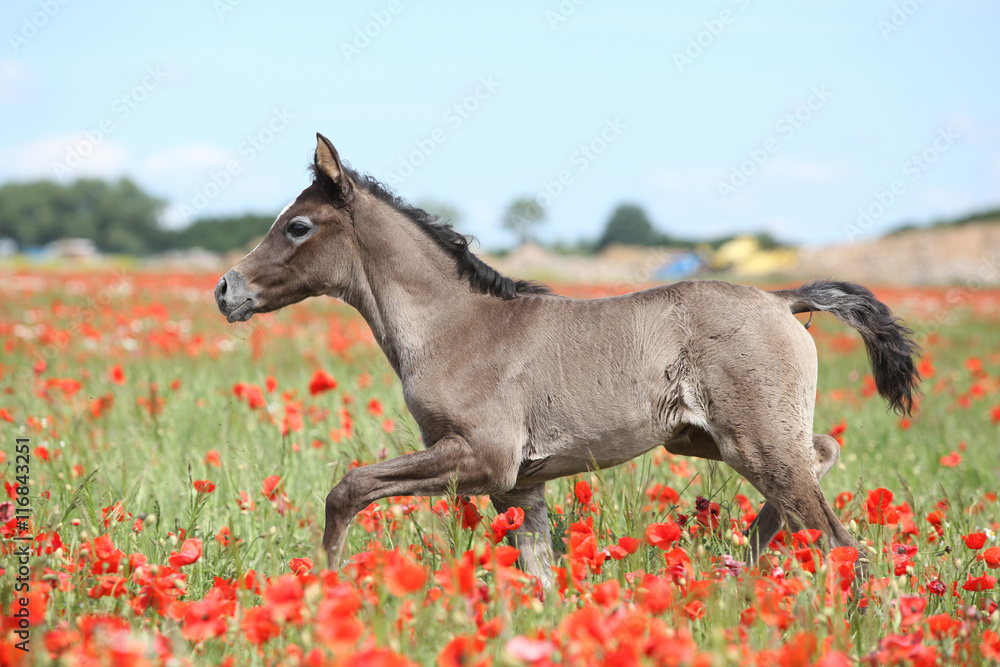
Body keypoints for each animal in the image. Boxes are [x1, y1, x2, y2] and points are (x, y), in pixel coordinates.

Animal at [215, 133, 920, 586]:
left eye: (298, 226)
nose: (226, 289)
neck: (454, 326)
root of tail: (782, 298)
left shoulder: (484, 457)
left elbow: (349, 488)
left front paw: (323, 587)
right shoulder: (521, 484)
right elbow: (540, 576)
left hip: (754, 440)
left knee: (842, 544)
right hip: (705, 439)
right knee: (821, 456)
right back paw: (746, 554)